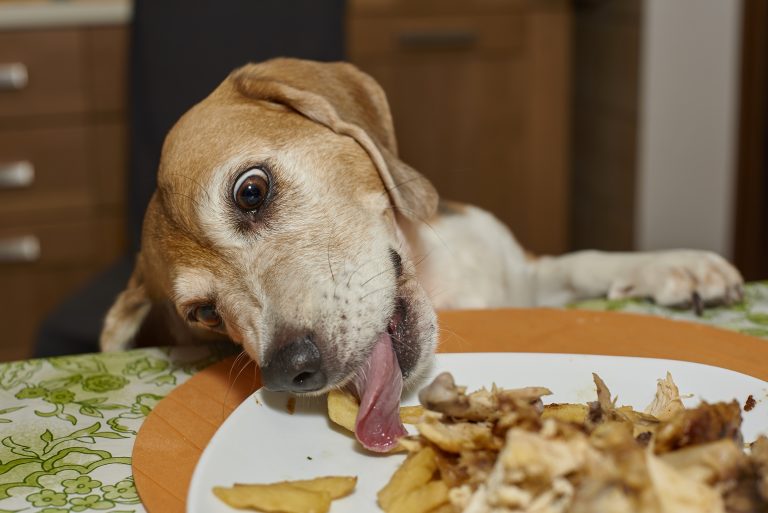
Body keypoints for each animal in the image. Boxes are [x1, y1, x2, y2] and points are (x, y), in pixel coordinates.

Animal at [99, 60, 740, 450]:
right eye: (204, 314)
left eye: (251, 191)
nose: (290, 370)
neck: (441, 282)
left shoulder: (523, 274)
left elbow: (586, 259)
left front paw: (677, 266)